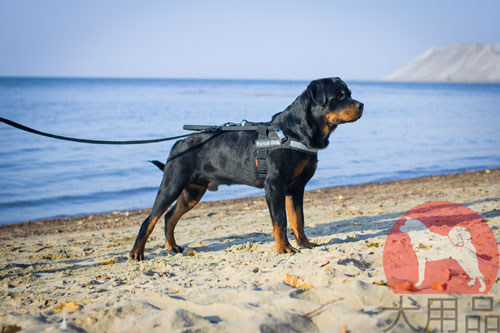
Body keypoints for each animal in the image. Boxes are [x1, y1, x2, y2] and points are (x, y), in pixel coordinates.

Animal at [129, 78, 364, 260]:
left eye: (349, 94)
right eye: (339, 96)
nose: (361, 105)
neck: (296, 132)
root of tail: (178, 143)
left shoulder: (296, 189)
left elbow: (298, 220)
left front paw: (305, 244)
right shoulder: (275, 186)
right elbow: (281, 220)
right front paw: (284, 248)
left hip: (193, 191)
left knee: (169, 216)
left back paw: (172, 246)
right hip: (173, 183)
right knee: (149, 219)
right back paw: (137, 253)